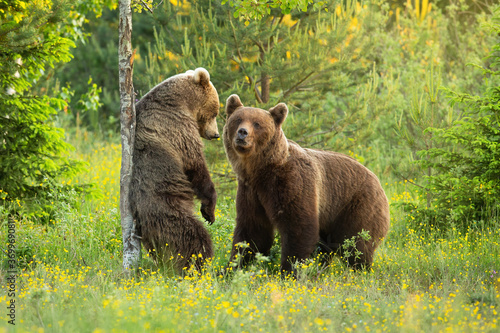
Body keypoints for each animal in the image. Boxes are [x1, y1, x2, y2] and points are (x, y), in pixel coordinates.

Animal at [130, 67, 220, 272]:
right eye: (216, 112)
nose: (216, 134)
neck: (182, 103)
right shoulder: (177, 129)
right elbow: (196, 168)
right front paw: (209, 211)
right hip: (167, 210)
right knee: (193, 237)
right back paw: (197, 266)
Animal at [223, 94, 390, 274]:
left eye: (257, 123)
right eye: (238, 119)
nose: (242, 132)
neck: (261, 171)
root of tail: (378, 182)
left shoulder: (291, 183)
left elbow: (298, 226)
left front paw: (289, 270)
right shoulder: (250, 191)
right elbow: (252, 231)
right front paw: (231, 268)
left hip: (357, 205)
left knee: (356, 243)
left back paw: (360, 270)